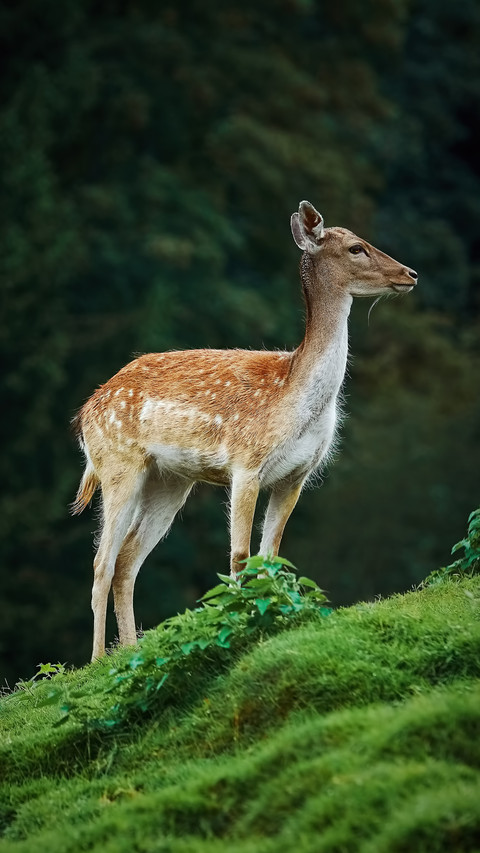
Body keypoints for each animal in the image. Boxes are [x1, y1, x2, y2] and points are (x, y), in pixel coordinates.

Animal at [72, 200, 417, 659]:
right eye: (356, 247)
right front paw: (237, 623)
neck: (293, 397)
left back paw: (131, 650)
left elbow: (271, 554)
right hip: (118, 464)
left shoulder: (296, 475)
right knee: (102, 561)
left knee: (127, 559)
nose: (410, 273)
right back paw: (98, 660)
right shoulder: (246, 462)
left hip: (170, 480)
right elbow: (239, 554)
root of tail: (84, 413)